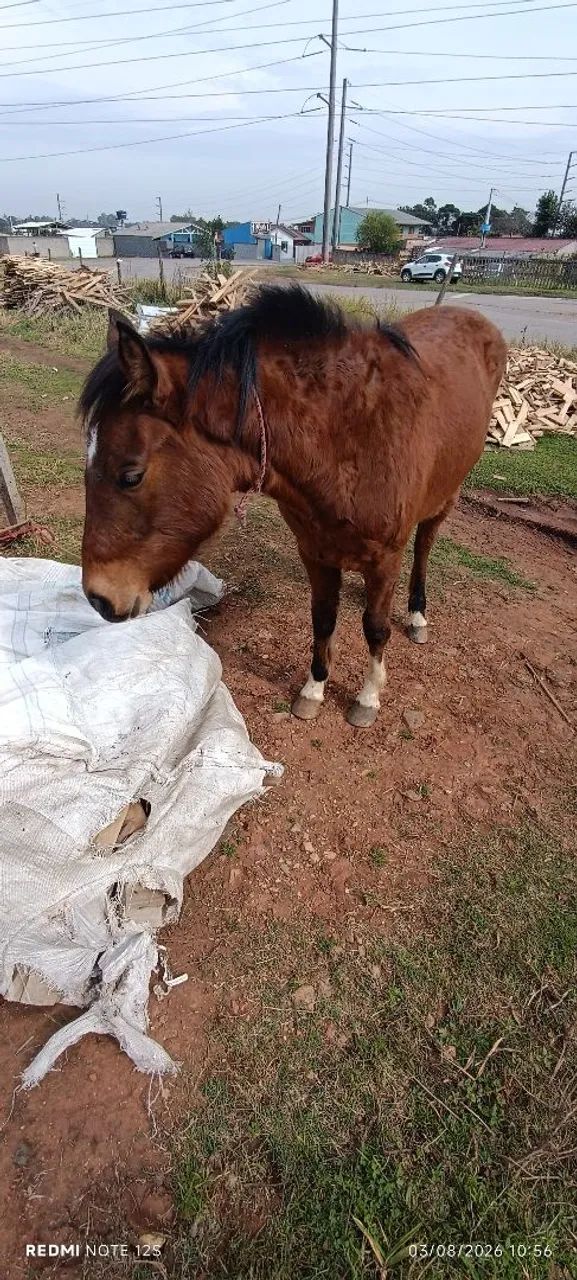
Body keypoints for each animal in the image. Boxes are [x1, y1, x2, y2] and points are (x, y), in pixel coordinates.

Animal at [80, 285, 507, 728]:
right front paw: (314, 690)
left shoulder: (385, 557)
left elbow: (375, 628)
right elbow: (323, 618)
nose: (99, 598)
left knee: (424, 544)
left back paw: (418, 613)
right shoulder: (315, 553)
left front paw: (368, 698)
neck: (348, 438)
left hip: (447, 495)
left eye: (131, 475)